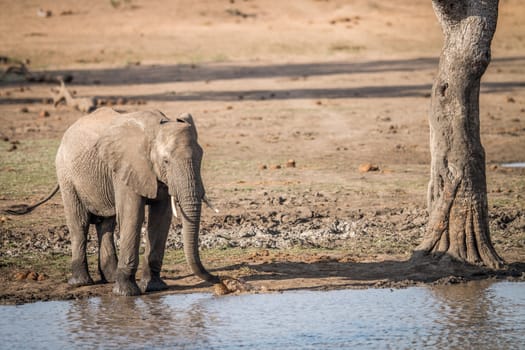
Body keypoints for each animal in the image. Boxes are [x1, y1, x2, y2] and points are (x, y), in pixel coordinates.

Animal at [6, 106, 223, 296]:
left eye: (201, 158)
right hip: (66, 175)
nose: (219, 280)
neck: (155, 128)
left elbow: (161, 218)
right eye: (166, 161)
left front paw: (155, 288)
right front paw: (126, 294)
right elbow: (132, 215)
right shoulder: (126, 168)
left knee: (106, 224)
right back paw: (81, 283)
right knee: (79, 224)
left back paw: (109, 278)